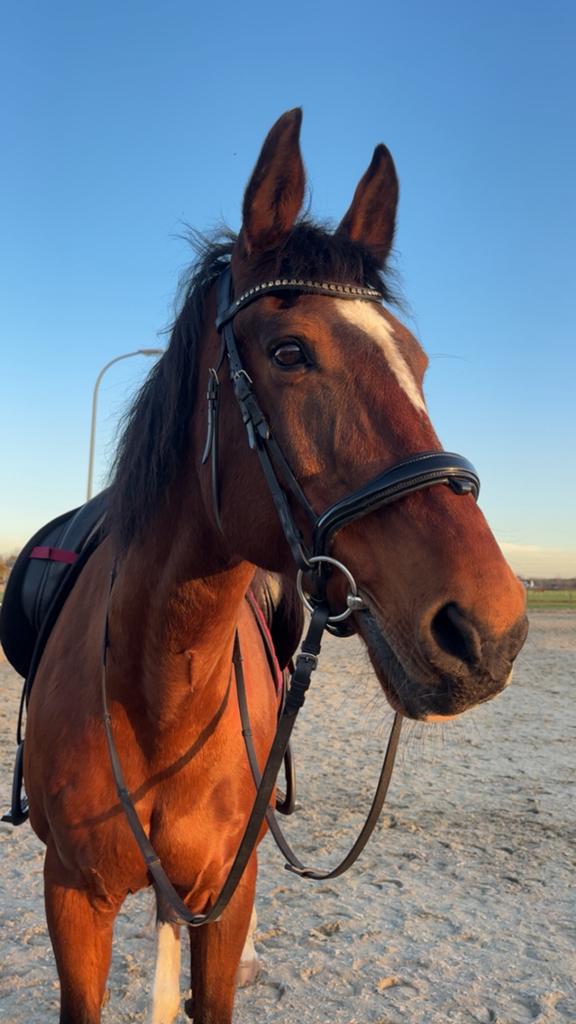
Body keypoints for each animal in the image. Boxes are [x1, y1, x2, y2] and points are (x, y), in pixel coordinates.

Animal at [20, 108, 528, 1023]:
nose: (490, 630)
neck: (159, 695)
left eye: (418, 363)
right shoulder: (71, 899)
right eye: (289, 352)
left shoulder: (226, 896)